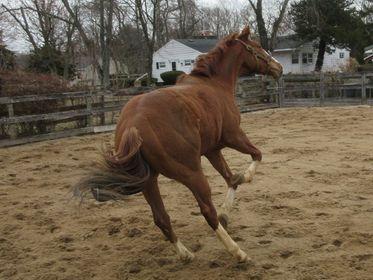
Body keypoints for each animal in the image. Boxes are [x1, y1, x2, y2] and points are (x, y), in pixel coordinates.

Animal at [76, 26, 282, 262]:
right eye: (257, 47)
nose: (279, 67)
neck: (215, 84)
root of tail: (133, 125)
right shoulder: (233, 136)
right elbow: (256, 156)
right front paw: (243, 178)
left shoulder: (212, 150)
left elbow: (231, 180)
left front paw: (226, 212)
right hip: (191, 173)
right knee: (207, 212)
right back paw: (237, 252)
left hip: (149, 181)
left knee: (161, 218)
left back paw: (186, 254)